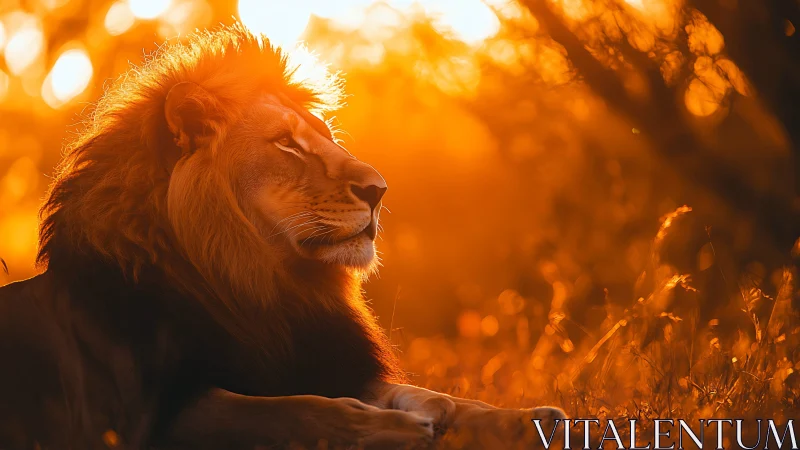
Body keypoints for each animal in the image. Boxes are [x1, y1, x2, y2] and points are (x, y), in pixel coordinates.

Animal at [0, 24, 564, 449]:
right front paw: (397, 430)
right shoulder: (144, 420)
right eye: (286, 145)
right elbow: (292, 410)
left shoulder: (322, 358)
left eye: (325, 135)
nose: (379, 190)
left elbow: (436, 396)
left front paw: (527, 420)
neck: (263, 291)